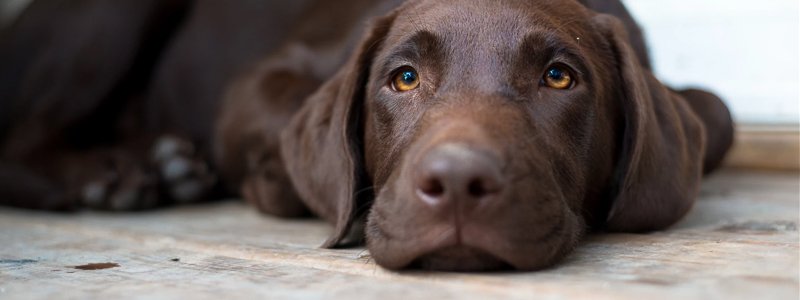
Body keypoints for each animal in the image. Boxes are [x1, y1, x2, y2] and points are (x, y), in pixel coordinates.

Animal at [0, 0, 732, 272]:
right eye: (402, 79)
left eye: (559, 77)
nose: (457, 184)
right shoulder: (262, 77)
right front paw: (283, 186)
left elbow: (718, 109)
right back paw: (115, 177)